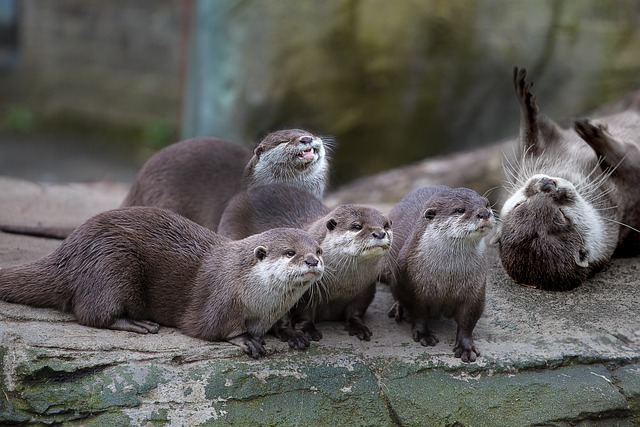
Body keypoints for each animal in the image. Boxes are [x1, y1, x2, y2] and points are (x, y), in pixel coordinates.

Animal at [0, 206, 322, 358]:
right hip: (110, 265)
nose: (312, 261)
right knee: (92, 314)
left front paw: (290, 332)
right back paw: (137, 323)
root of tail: (67, 252)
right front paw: (246, 338)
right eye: (290, 252)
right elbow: (211, 328)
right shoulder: (219, 299)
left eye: (318, 249)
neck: (260, 303)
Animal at [219, 184, 390, 348]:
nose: (380, 233)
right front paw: (308, 330)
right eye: (357, 226)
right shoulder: (306, 293)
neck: (343, 284)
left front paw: (359, 326)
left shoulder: (365, 289)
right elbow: (304, 313)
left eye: (386, 225)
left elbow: (356, 312)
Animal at [384, 186, 496, 362]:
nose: (484, 213)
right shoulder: (411, 286)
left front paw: (466, 347)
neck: (447, 278)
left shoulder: (476, 290)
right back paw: (399, 309)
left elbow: (468, 322)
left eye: (487, 204)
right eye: (460, 209)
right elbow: (417, 313)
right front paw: (424, 334)